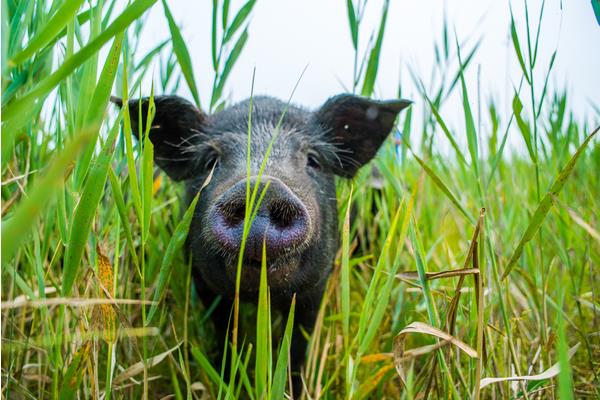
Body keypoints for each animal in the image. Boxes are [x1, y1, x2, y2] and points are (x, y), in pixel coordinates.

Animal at [115, 94, 410, 396]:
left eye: (313, 160)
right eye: (211, 161)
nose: (262, 188)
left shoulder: (316, 286)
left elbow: (299, 343)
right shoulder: (201, 279)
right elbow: (224, 331)